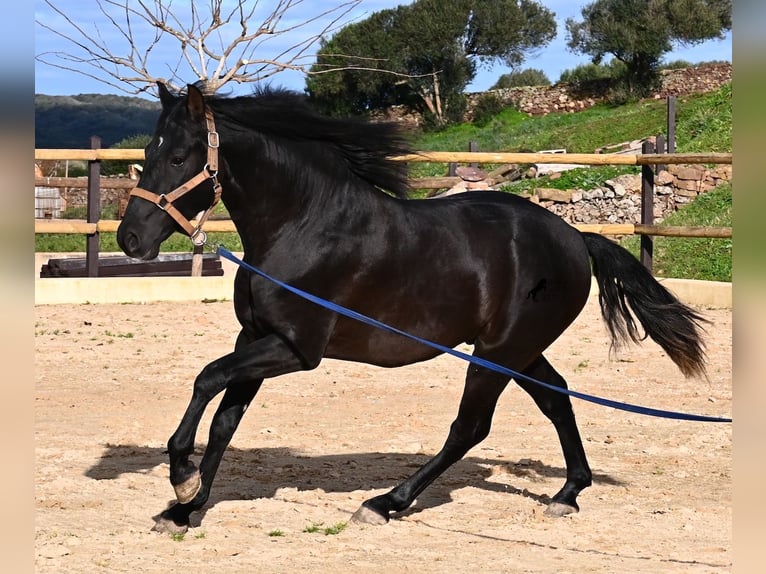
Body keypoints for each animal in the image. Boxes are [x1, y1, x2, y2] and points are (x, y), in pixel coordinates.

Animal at [117, 83, 712, 536]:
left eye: (179, 157)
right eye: (147, 155)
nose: (129, 238)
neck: (303, 225)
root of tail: (574, 237)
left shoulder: (294, 348)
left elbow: (205, 379)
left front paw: (181, 477)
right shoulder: (256, 339)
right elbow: (224, 420)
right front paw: (186, 508)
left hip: (500, 353)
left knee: (470, 428)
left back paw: (385, 503)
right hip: (514, 351)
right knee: (556, 399)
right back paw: (567, 493)